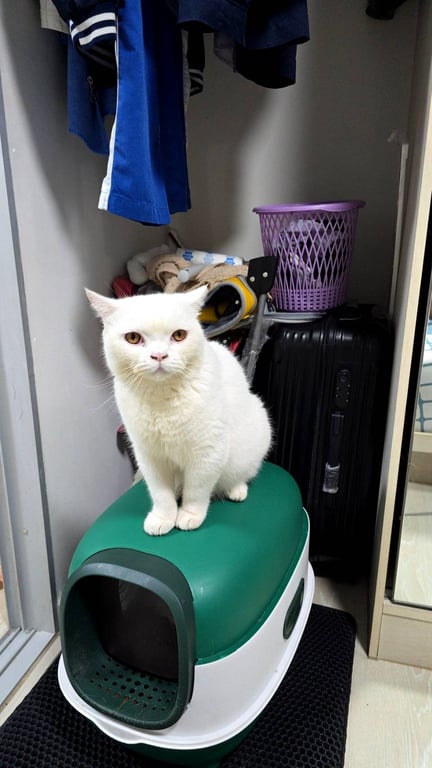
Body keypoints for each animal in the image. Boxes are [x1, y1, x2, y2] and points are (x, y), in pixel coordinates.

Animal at [86, 286, 272, 535]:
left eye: (179, 335)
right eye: (133, 338)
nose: (159, 356)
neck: (162, 399)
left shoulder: (207, 452)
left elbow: (196, 491)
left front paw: (189, 515)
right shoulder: (149, 456)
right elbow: (160, 493)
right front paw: (163, 517)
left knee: (242, 474)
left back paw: (236, 490)